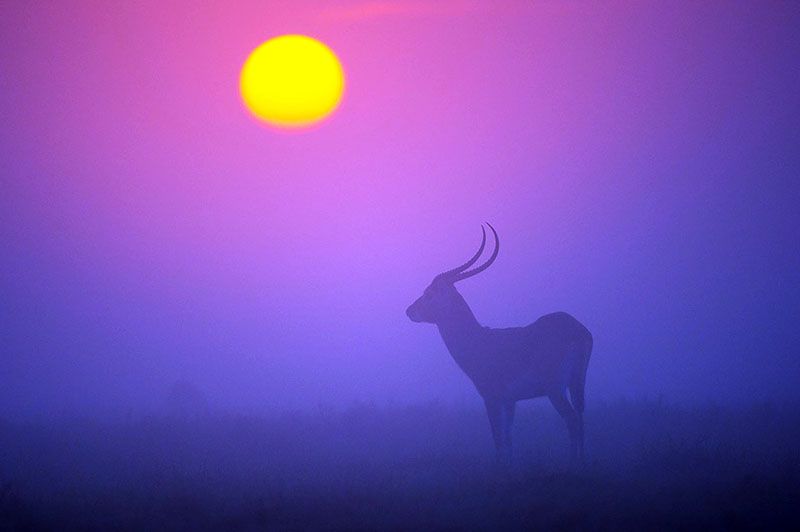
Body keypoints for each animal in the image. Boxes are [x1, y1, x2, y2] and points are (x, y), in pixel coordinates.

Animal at [410, 223, 592, 462]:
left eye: (430, 292)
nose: (409, 310)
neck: (480, 340)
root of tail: (578, 330)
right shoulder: (510, 401)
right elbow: (508, 440)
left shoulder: (492, 398)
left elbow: (499, 441)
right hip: (577, 383)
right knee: (581, 418)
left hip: (556, 389)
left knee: (572, 420)